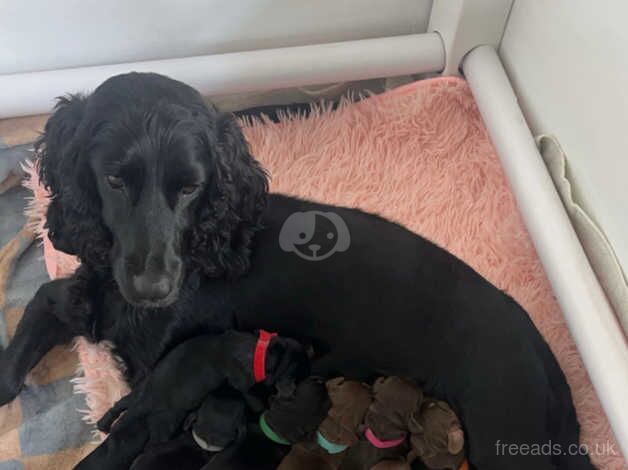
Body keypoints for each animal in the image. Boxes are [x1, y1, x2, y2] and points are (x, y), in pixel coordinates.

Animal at [75, 330, 308, 470]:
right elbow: (251, 396)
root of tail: (144, 405)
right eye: (294, 374)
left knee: (119, 405)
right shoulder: (243, 383)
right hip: (167, 421)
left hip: (136, 394)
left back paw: (103, 424)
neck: (260, 351)